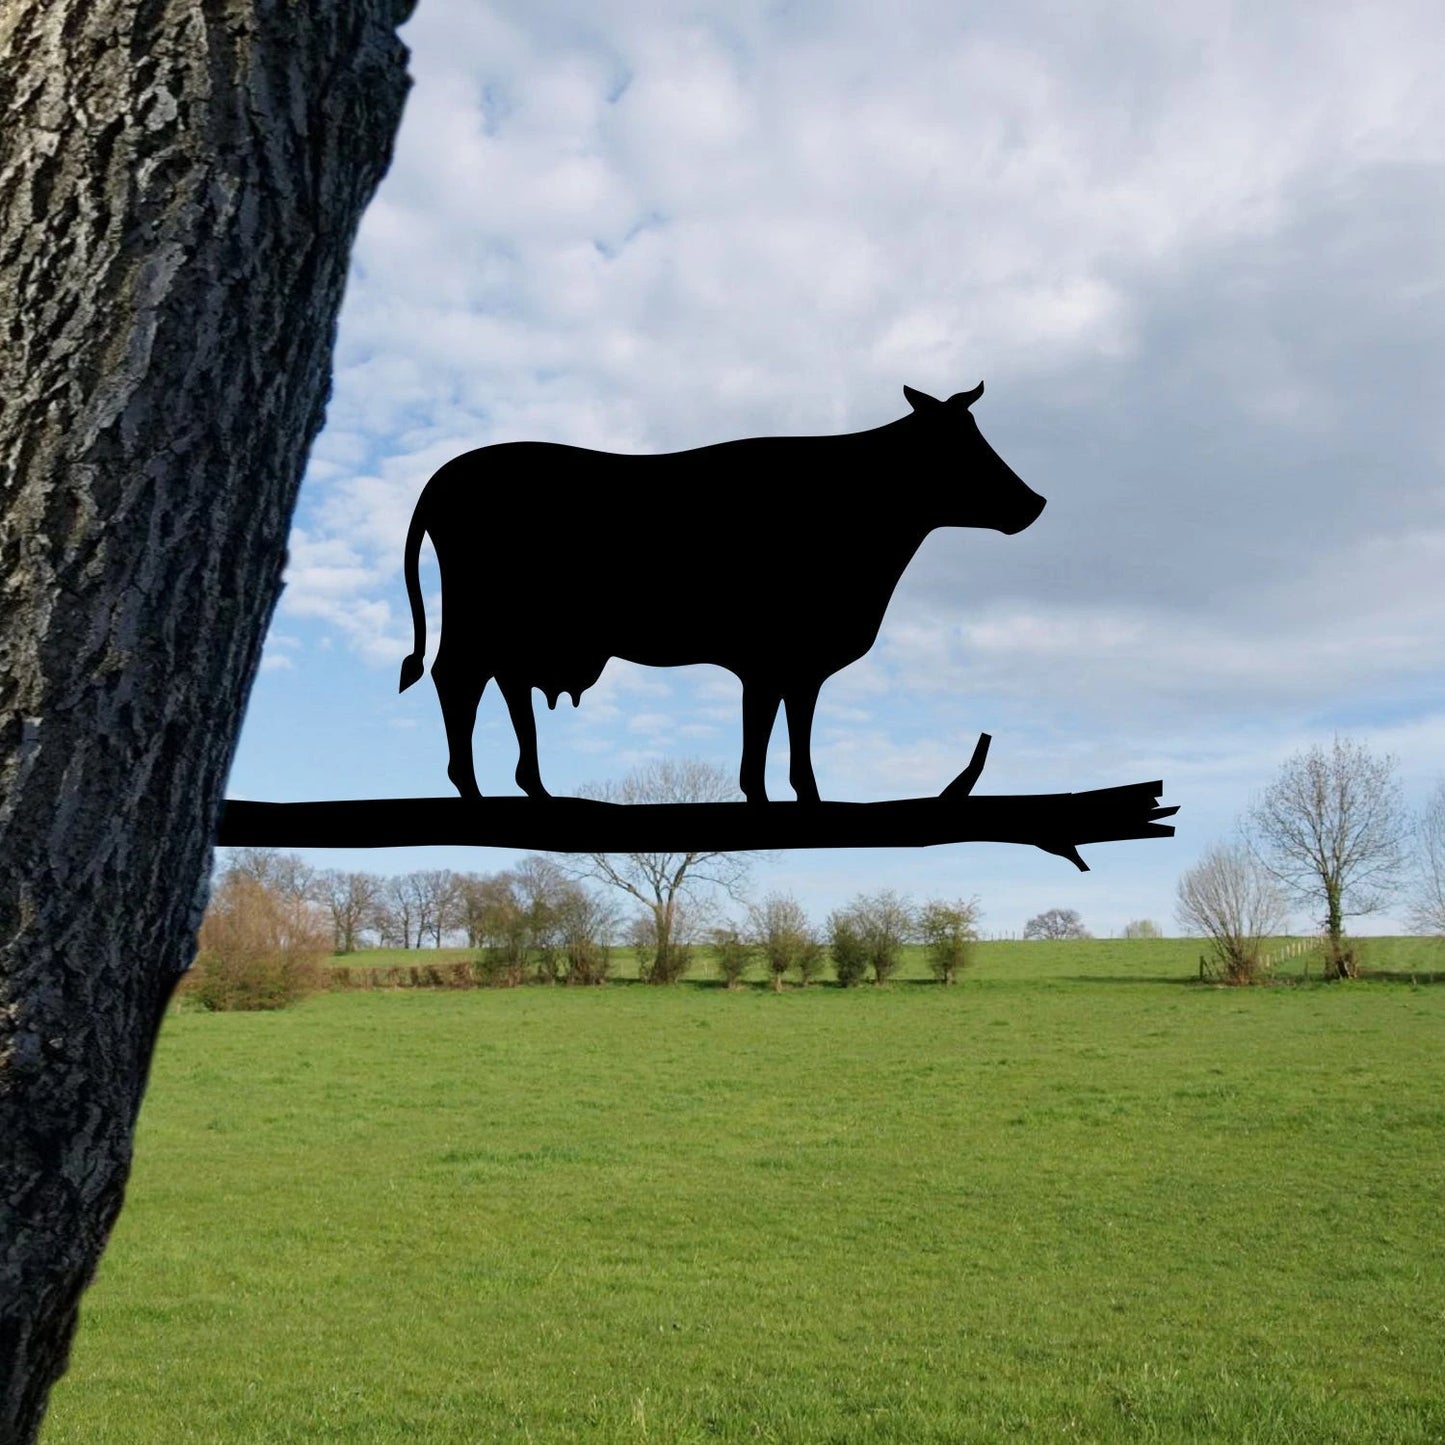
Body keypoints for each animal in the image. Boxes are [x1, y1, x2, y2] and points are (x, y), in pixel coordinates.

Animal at [398, 381, 1045, 804]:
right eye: (961, 449)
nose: (1035, 502)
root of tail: (441, 478)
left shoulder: (794, 664)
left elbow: (788, 733)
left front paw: (801, 798)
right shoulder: (770, 658)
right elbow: (764, 742)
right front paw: (774, 798)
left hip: (513, 631)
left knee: (503, 686)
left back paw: (532, 788)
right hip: (480, 617)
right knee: (456, 678)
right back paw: (472, 789)